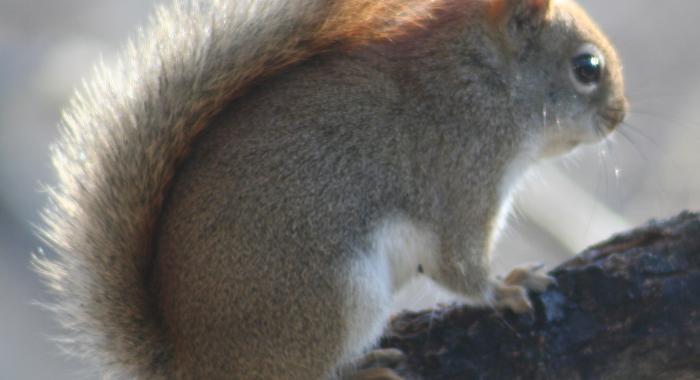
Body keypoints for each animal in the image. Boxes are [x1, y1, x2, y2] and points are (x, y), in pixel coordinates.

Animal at [32, 0, 628, 378]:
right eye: (587, 67)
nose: (620, 118)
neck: (485, 82)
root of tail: (193, 360)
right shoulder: (460, 179)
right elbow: (460, 268)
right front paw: (506, 287)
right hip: (332, 297)